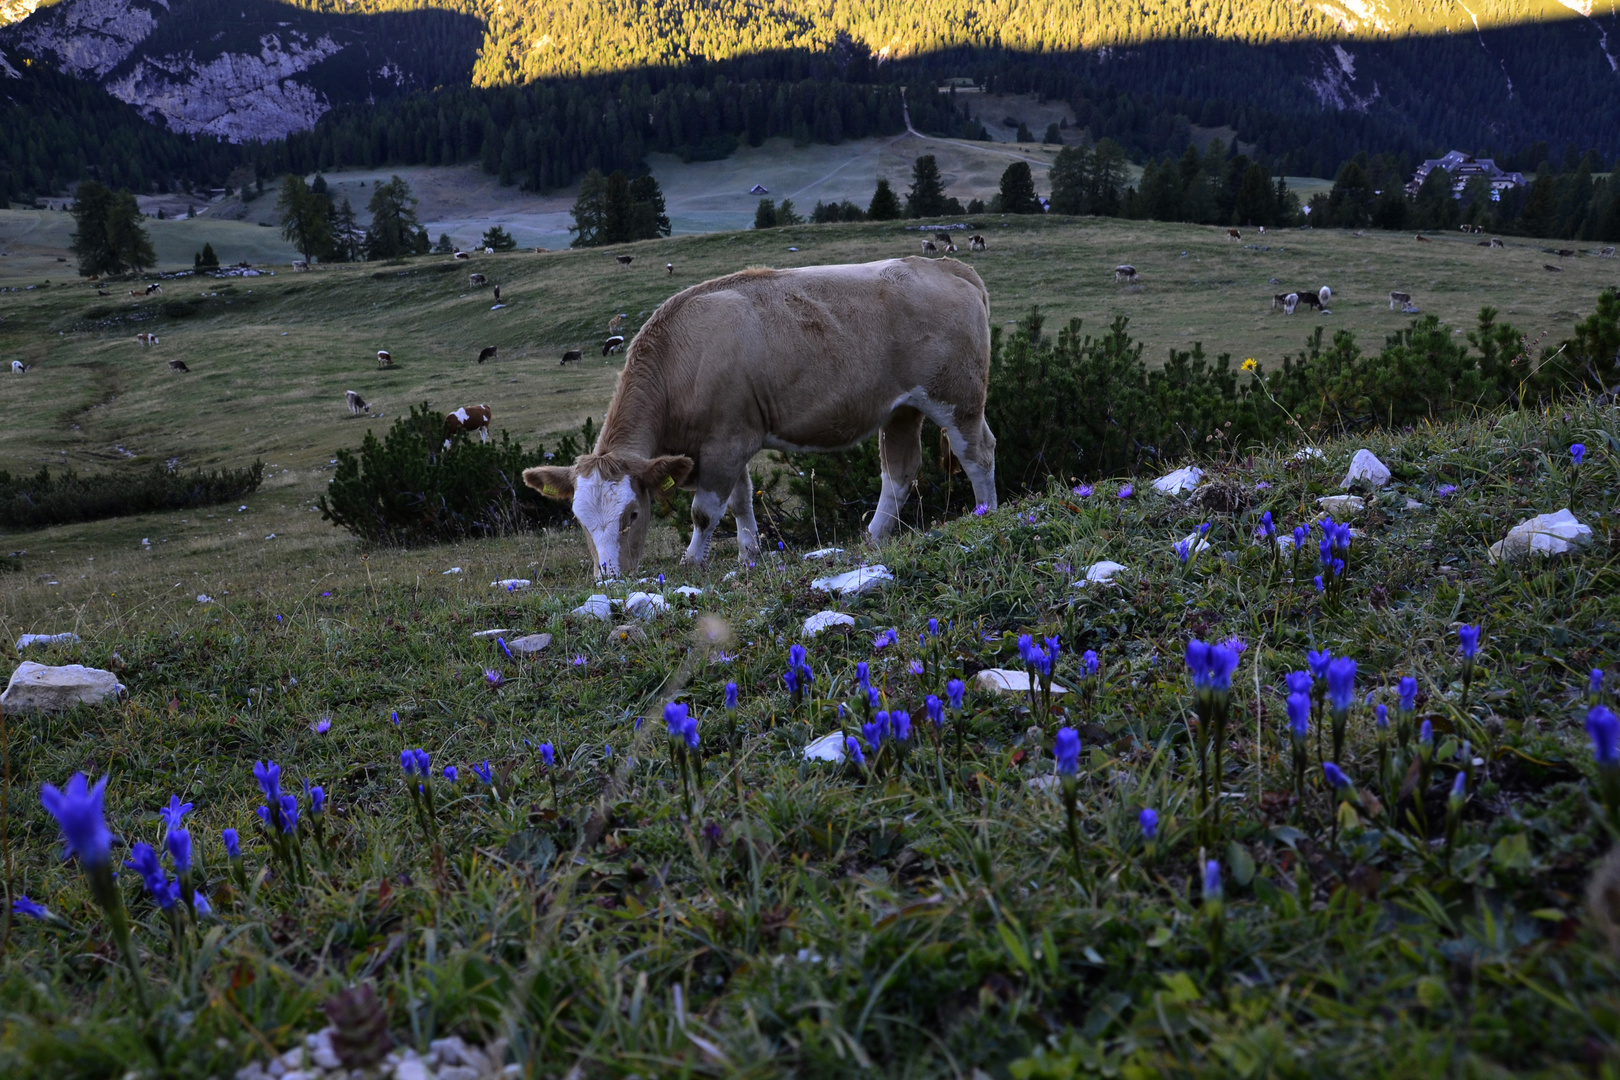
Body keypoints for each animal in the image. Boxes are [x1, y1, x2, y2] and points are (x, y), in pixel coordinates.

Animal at [524, 257, 991, 579]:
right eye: (579, 520)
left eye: (633, 515)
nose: (609, 579)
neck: (681, 360)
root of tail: (943, 265)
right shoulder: (726, 439)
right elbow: (740, 501)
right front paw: (749, 554)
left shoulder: (726, 444)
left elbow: (705, 512)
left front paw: (692, 561)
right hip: (902, 409)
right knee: (899, 472)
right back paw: (873, 537)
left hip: (957, 397)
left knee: (978, 454)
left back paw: (986, 511)